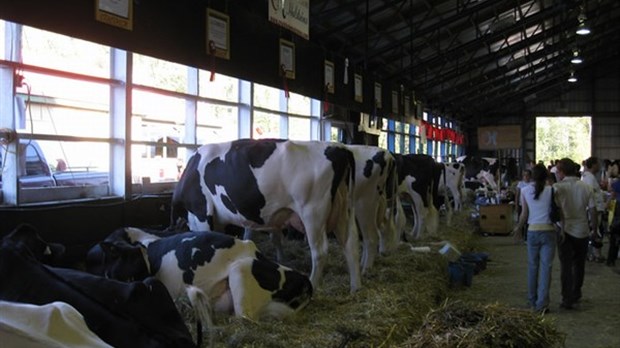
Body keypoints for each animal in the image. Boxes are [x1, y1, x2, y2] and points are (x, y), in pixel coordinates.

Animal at [172, 138, 360, 290]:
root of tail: (339, 148)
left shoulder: (201, 213)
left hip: (313, 212)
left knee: (320, 252)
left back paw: (313, 285)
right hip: (344, 210)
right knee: (350, 243)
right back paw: (355, 287)